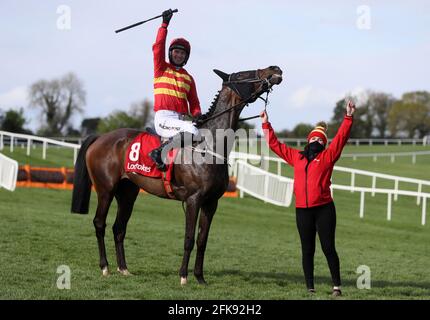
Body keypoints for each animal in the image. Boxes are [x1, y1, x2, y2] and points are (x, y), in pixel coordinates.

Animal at [71, 65, 282, 284]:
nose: (274, 69)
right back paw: (105, 266)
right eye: (243, 74)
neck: (208, 146)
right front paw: (183, 276)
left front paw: (200, 277)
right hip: (105, 189)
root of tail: (100, 138)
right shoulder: (193, 200)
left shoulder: (211, 203)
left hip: (128, 192)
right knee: (99, 223)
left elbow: (202, 240)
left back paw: (123, 268)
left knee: (119, 228)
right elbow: (189, 239)